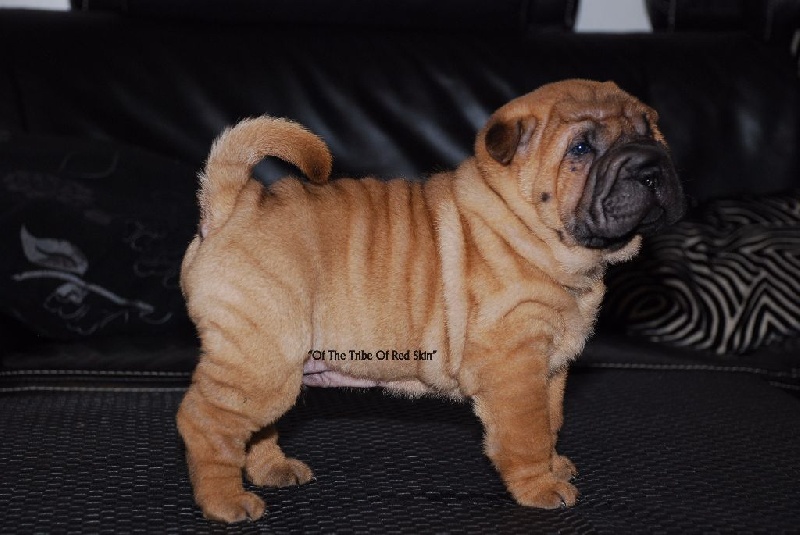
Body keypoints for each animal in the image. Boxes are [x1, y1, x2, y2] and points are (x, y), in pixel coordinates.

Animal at [177, 79, 685, 522]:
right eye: (581, 149)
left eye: (650, 131)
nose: (650, 165)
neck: (529, 232)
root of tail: (231, 207)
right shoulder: (514, 365)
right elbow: (526, 432)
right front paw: (541, 487)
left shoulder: (551, 367)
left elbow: (551, 419)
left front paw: (554, 464)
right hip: (262, 360)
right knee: (206, 422)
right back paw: (226, 502)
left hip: (274, 367)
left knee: (252, 428)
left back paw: (272, 470)